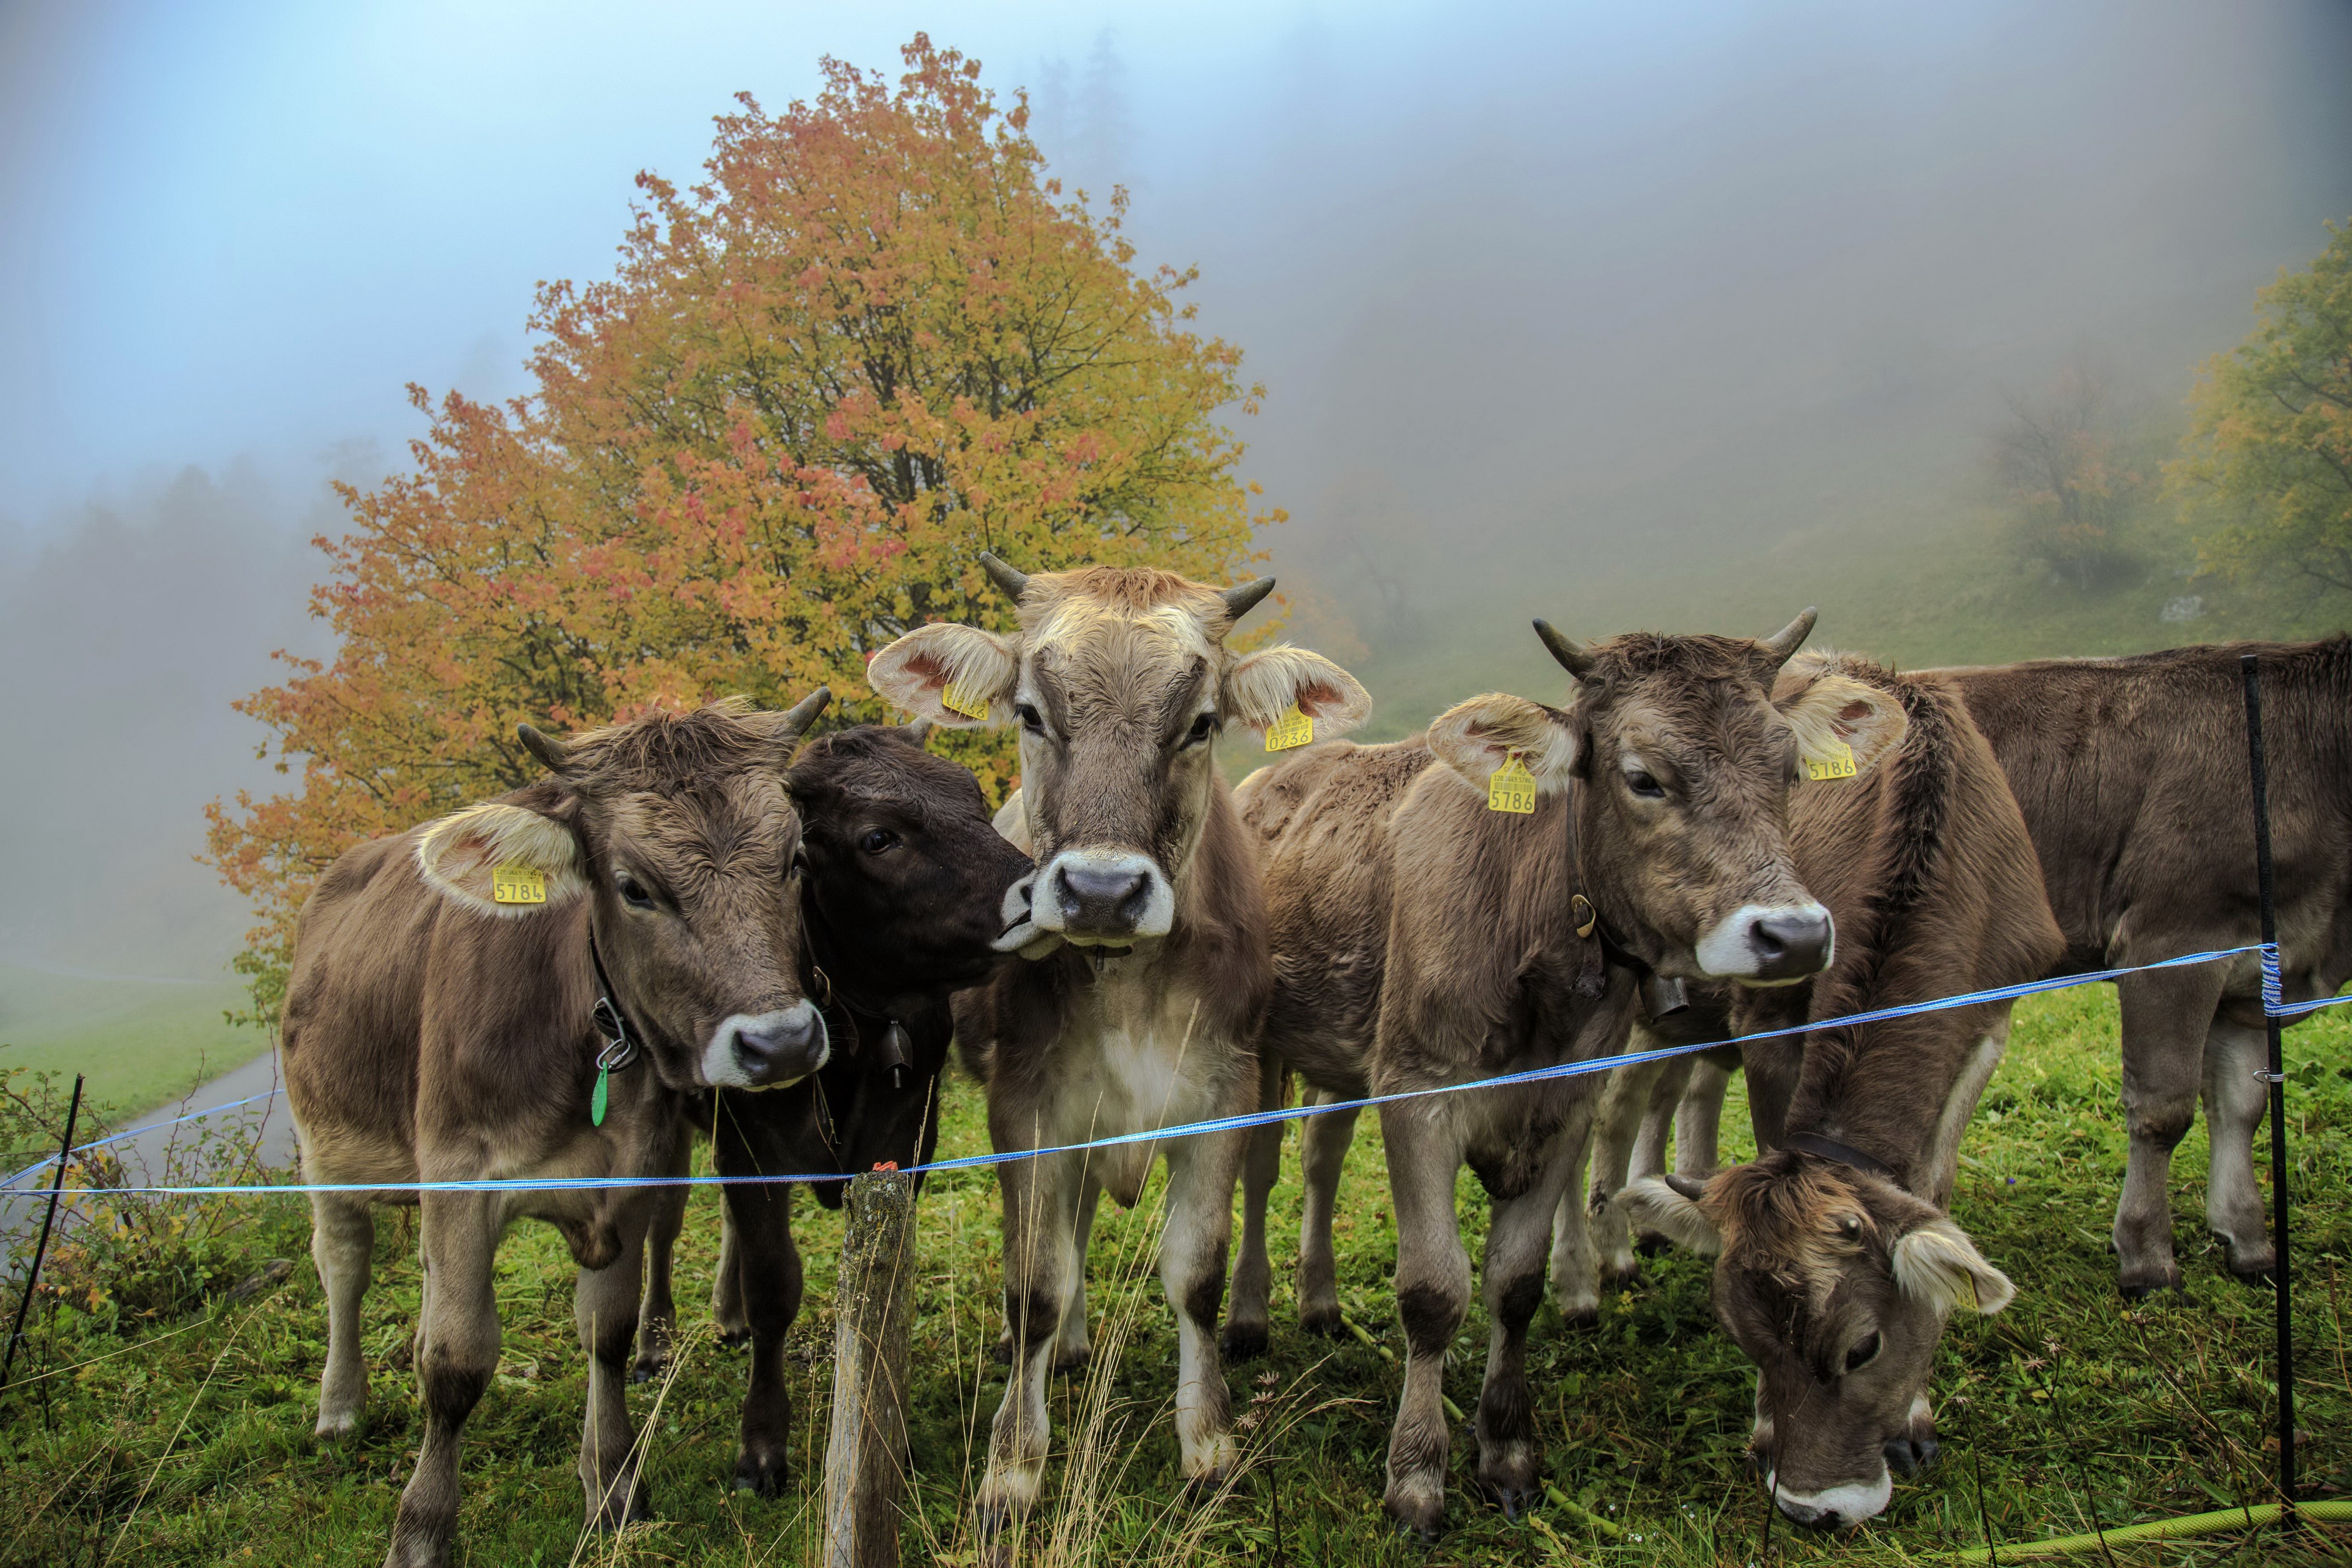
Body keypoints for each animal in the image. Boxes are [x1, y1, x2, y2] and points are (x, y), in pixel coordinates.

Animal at [282, 693, 830, 1568]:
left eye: (795, 859)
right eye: (634, 888)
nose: (779, 1044)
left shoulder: (628, 1172)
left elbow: (604, 1330)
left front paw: (612, 1485)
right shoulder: (459, 1176)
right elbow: (457, 1360)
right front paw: (422, 1528)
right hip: (323, 1144)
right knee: (343, 1263)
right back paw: (339, 1405)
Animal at [626, 721, 1032, 1495]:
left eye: (972, 796)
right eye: (878, 838)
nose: (1036, 892)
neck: (853, 1025)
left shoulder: (909, 1133)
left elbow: (880, 1278)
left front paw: (884, 1432)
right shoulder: (747, 1143)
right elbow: (774, 1287)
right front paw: (761, 1445)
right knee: (660, 1222)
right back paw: (653, 1340)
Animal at [866, 555, 1372, 1543]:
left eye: (1201, 722)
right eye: (1030, 712)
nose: (1102, 891)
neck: (1129, 984)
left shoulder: (1222, 1094)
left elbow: (1196, 1276)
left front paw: (1208, 1445)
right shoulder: (1025, 1107)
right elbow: (1033, 1284)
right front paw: (1013, 1467)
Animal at [1232, 613, 1911, 1537]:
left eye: (1787, 767)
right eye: (1643, 777)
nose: (1795, 935)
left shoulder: (1565, 1101)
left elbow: (1514, 1284)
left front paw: (1508, 1450)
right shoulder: (1417, 1090)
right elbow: (1433, 1290)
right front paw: (1417, 1477)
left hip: (1340, 1052)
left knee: (1321, 1159)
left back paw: (1320, 1302)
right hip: (1259, 1046)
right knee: (1259, 1169)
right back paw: (1248, 1317)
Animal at [1618, 654, 2065, 1529]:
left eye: (1864, 1347)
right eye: (1745, 1338)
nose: (1809, 1507)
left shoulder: (1990, 1023)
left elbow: (1931, 1189)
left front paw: (1916, 1415)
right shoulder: (1770, 1013)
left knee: (1679, 1084)